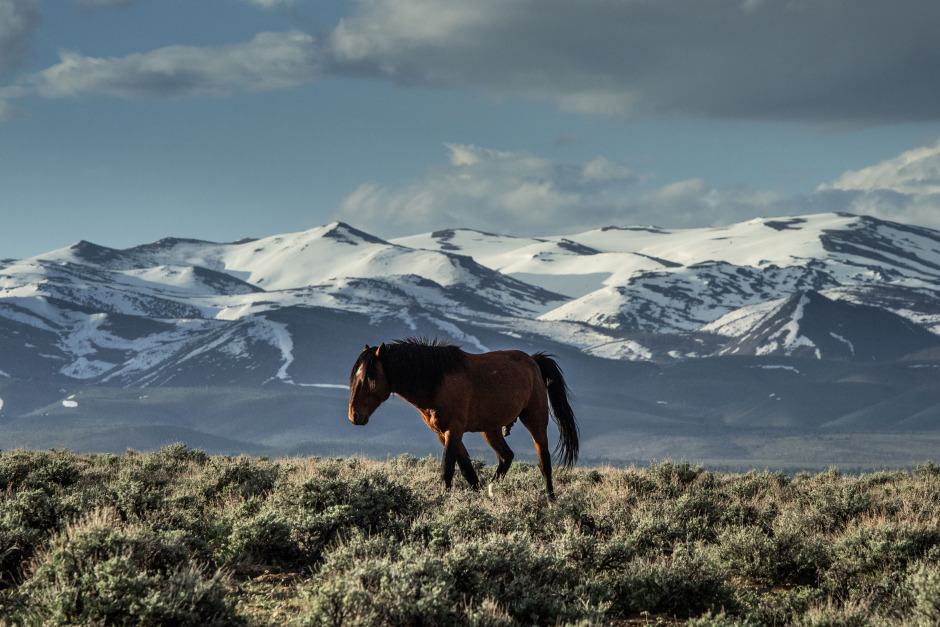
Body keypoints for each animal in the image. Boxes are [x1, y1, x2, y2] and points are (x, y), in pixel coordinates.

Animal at [348, 338, 579, 500]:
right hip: (490, 429)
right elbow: (467, 470)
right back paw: (492, 489)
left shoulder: (454, 430)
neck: (436, 381)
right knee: (506, 457)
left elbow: (447, 469)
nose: (354, 415)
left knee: (544, 462)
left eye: (369, 378)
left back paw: (551, 501)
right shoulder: (443, 433)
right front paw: (478, 498)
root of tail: (533, 362)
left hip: (535, 419)